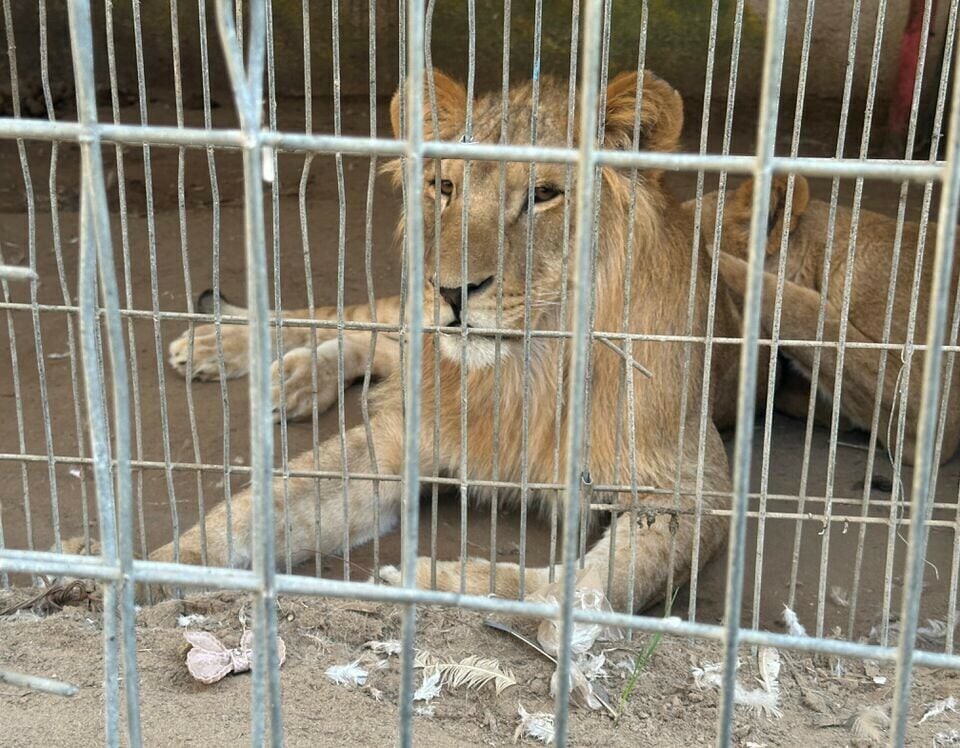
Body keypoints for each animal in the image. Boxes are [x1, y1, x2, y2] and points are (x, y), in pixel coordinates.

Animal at [75, 70, 747, 613]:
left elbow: (587, 589)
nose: (450, 291)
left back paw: (295, 379)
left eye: (544, 195)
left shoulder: (696, 490)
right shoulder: (402, 437)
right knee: (357, 319)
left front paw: (433, 581)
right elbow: (248, 513)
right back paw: (225, 346)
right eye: (444, 187)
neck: (527, 368)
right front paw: (133, 571)